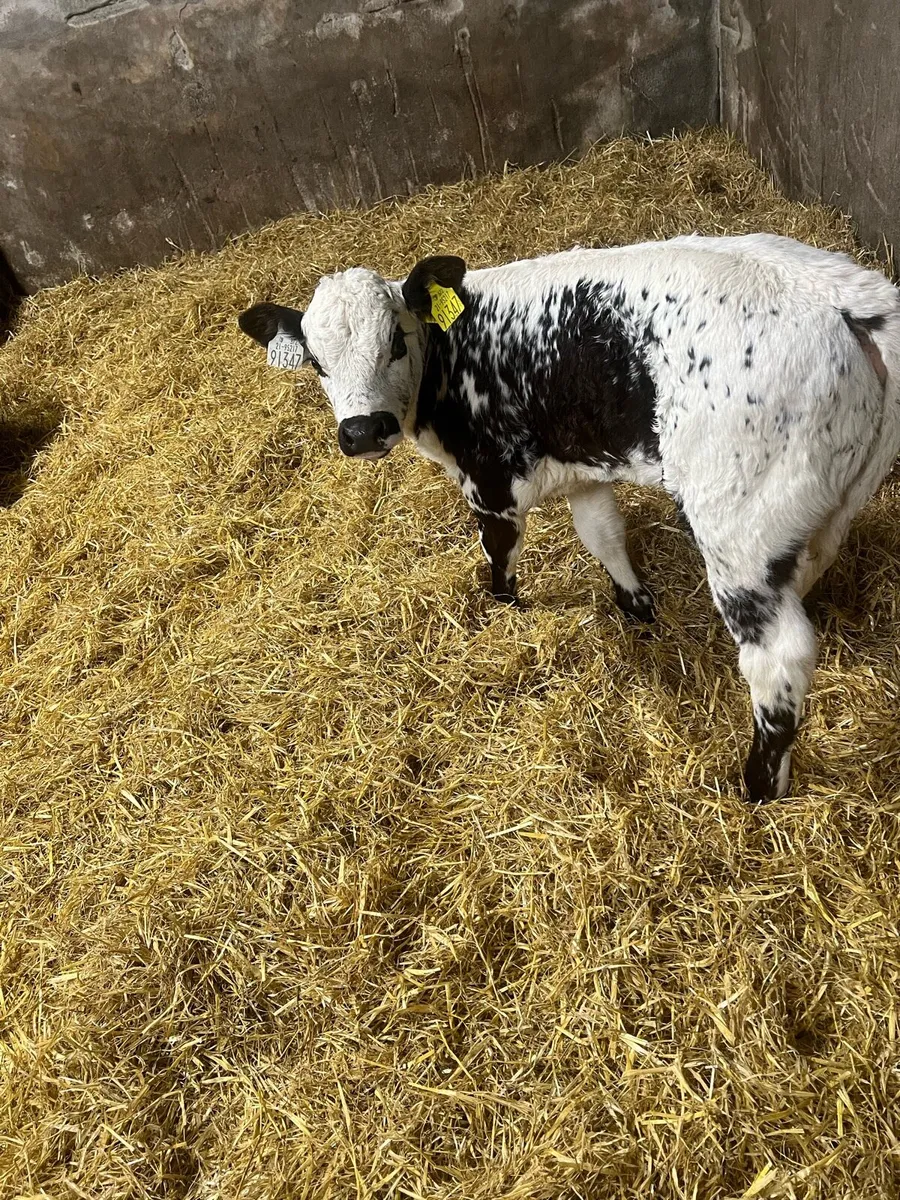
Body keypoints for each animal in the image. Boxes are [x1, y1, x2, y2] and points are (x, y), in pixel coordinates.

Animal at [238, 234, 900, 803]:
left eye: (396, 341)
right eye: (316, 362)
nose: (361, 431)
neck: (455, 355)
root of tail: (850, 299)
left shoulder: (490, 480)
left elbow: (500, 550)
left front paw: (506, 610)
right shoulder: (584, 471)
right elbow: (604, 537)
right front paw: (636, 608)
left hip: (738, 529)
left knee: (778, 659)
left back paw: (759, 787)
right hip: (822, 511)